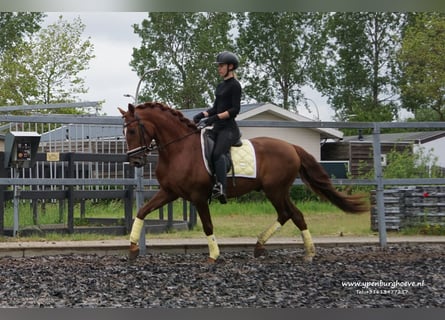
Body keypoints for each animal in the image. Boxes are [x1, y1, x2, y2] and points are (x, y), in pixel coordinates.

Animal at [118, 102, 368, 262]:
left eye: (132, 131)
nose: (135, 160)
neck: (179, 149)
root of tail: (291, 146)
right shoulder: (169, 192)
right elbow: (142, 212)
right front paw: (132, 248)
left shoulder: (198, 197)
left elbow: (208, 225)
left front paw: (213, 256)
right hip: (277, 191)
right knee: (293, 214)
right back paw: (291, 250)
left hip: (275, 190)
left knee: (289, 214)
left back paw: (298, 250)